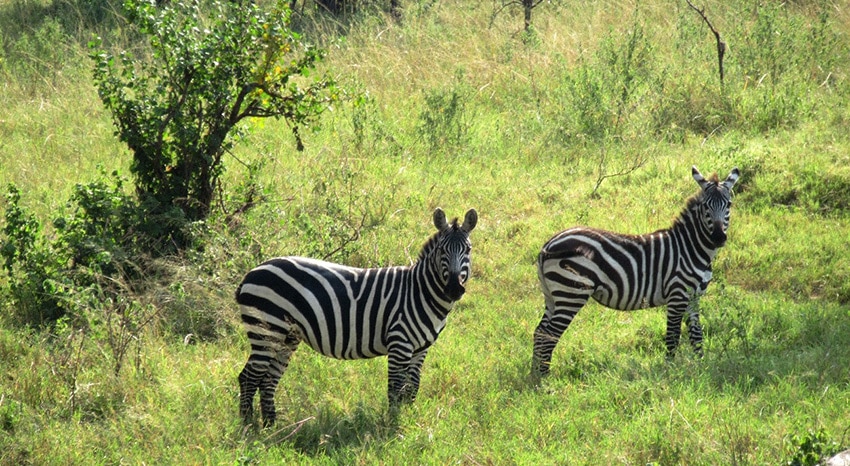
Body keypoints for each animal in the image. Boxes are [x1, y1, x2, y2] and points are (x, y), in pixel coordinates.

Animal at [235, 207, 478, 426]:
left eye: (467, 250)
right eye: (442, 251)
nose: (454, 289)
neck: (420, 292)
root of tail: (253, 271)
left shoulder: (421, 349)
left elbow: (412, 387)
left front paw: (407, 421)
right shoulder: (399, 344)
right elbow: (395, 389)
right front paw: (392, 426)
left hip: (287, 337)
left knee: (268, 379)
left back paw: (270, 426)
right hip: (267, 329)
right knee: (249, 377)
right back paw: (248, 427)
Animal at [532, 166, 740, 377]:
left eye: (729, 204)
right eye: (706, 206)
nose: (718, 238)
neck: (690, 247)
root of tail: (548, 244)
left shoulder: (693, 297)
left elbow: (696, 335)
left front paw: (701, 366)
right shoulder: (677, 295)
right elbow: (672, 337)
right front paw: (670, 371)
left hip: (552, 295)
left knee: (539, 332)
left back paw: (535, 375)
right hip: (571, 293)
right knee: (549, 335)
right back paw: (545, 378)